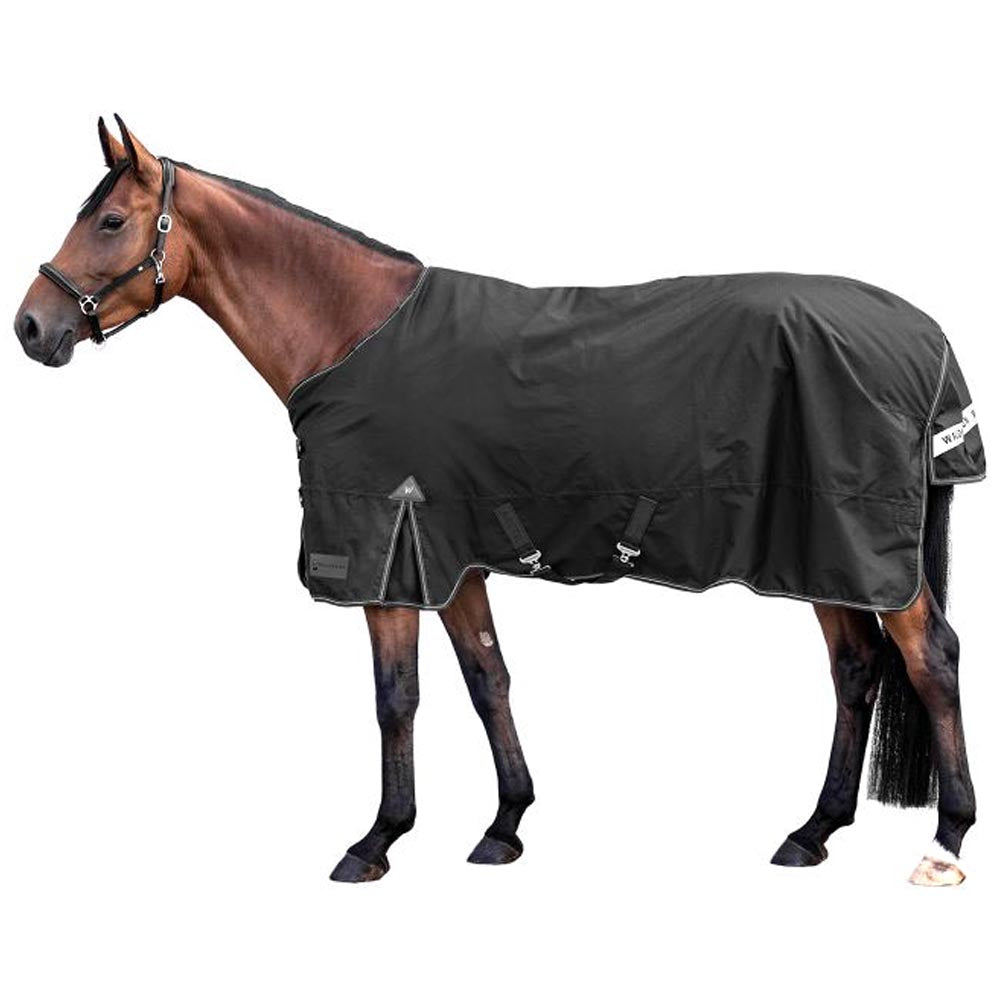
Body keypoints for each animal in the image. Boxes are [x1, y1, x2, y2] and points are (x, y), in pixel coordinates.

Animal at [14, 117, 983, 886]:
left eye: (109, 220)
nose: (30, 327)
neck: (349, 332)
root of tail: (923, 336)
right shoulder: (455, 557)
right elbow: (488, 678)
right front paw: (505, 825)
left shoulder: (390, 558)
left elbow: (396, 698)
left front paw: (377, 842)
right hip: (823, 551)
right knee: (856, 670)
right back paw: (812, 832)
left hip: (857, 548)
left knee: (930, 659)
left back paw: (946, 841)